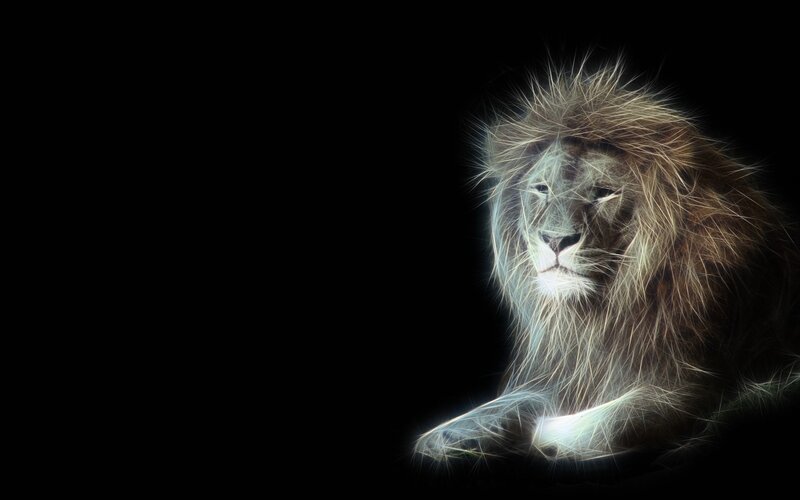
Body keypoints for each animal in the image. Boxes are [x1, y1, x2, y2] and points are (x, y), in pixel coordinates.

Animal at [414, 63, 800, 462]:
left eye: (603, 193)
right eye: (542, 188)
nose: (556, 240)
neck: (605, 308)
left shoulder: (704, 381)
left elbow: (614, 422)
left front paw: (549, 433)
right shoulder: (574, 370)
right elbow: (511, 401)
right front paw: (443, 435)